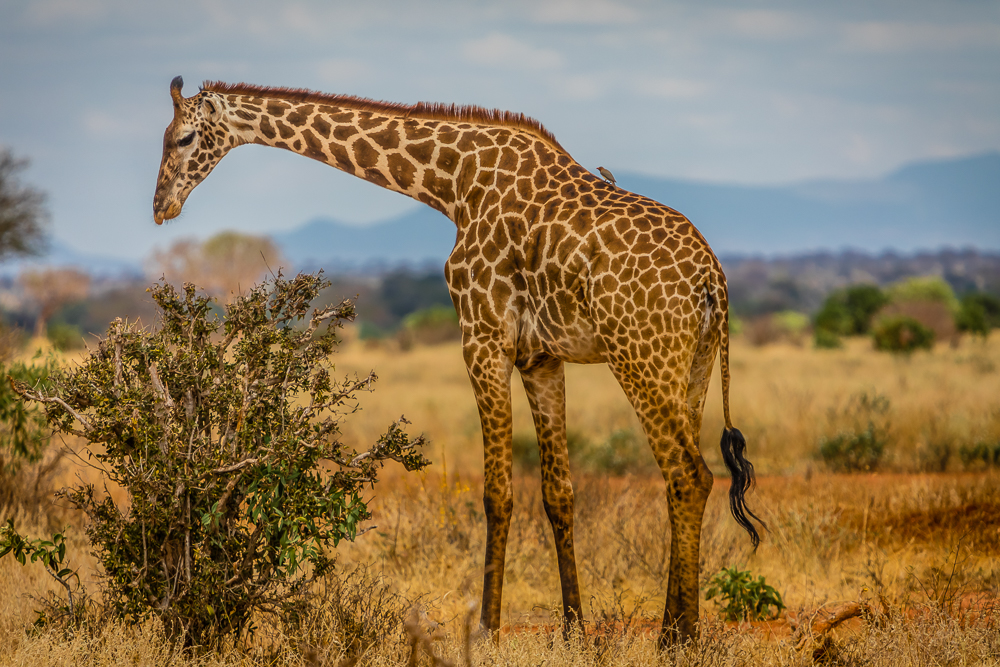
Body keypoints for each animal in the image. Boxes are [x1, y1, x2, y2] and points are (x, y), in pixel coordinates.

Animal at [152, 77, 760, 648]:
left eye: (183, 138)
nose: (161, 207)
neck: (454, 183)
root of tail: (714, 282)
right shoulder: (540, 357)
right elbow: (558, 493)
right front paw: (574, 629)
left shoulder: (482, 336)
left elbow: (497, 493)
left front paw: (487, 628)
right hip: (692, 366)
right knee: (683, 477)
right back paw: (678, 628)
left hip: (640, 356)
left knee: (688, 475)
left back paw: (677, 637)